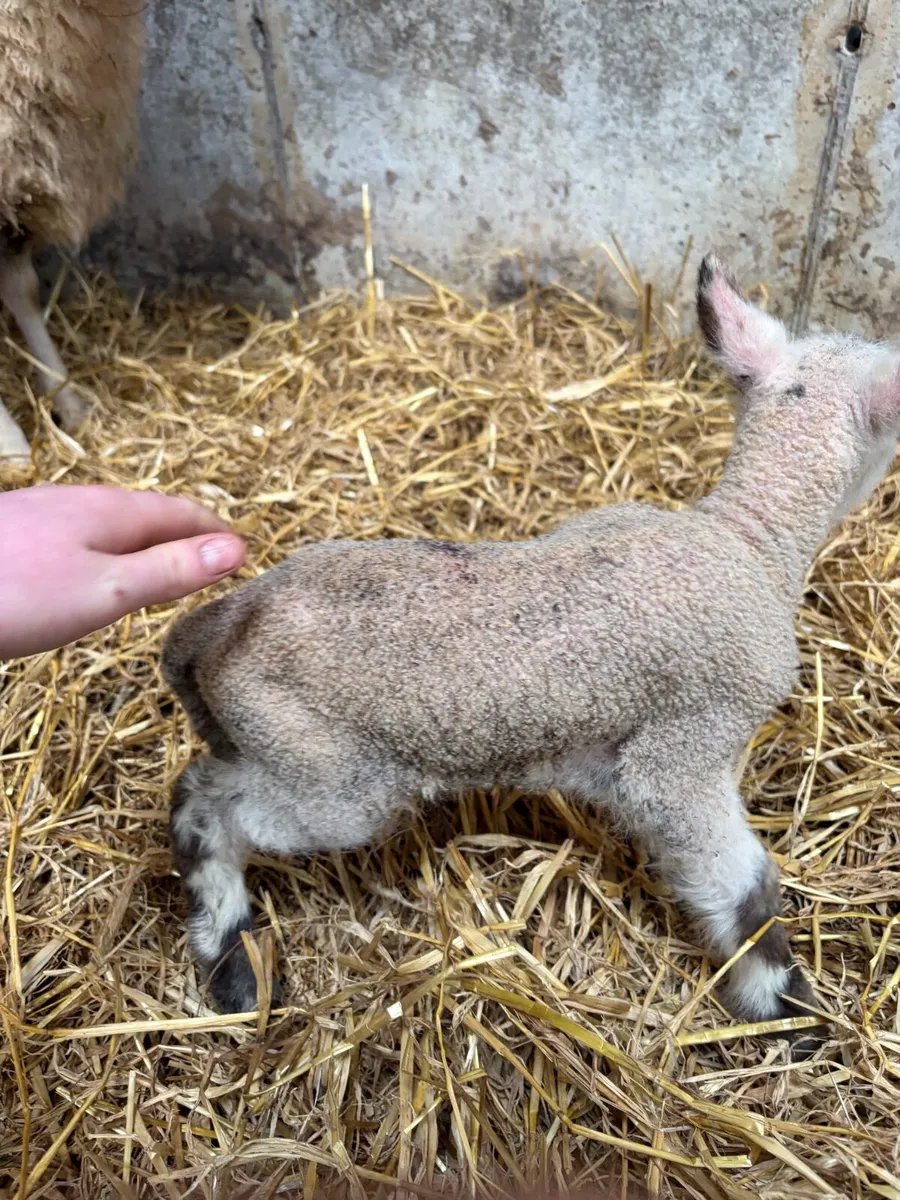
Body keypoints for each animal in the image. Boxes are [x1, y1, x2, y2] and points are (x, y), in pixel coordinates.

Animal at [161, 253, 900, 1042]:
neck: (748, 538)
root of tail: (225, 623)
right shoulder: (688, 746)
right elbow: (744, 884)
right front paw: (783, 1004)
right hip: (325, 774)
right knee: (205, 808)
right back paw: (232, 960)